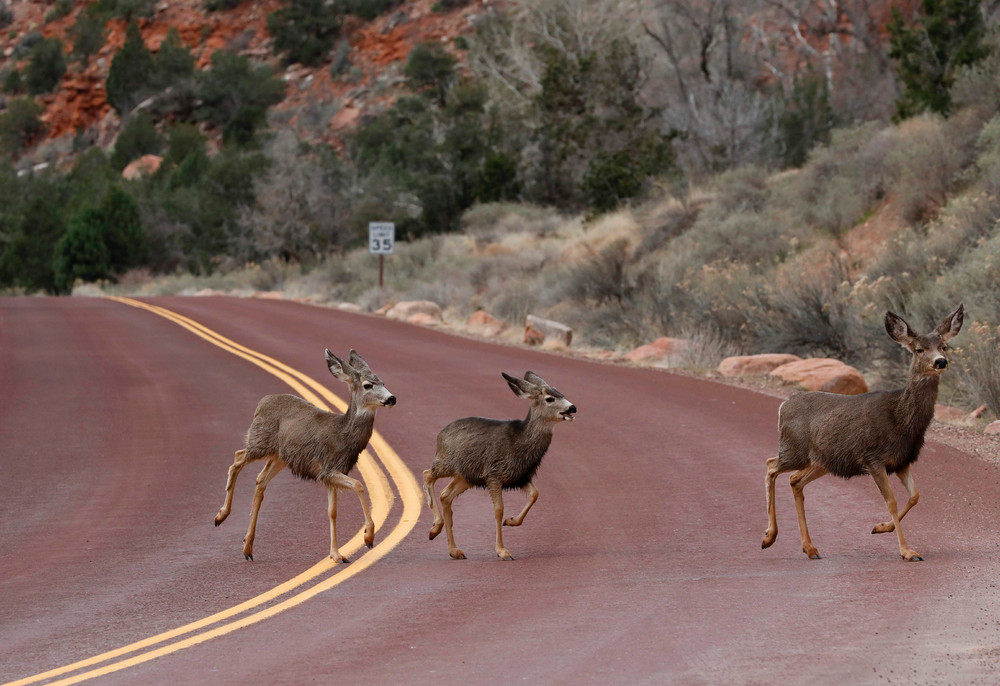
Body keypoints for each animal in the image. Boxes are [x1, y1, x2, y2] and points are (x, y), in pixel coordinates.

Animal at [214, 350, 394, 564]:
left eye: (383, 382)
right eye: (368, 385)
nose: (392, 398)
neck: (343, 435)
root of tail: (262, 402)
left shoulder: (332, 473)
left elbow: (332, 512)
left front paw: (336, 554)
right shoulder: (328, 468)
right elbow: (358, 485)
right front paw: (368, 537)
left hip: (280, 456)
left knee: (260, 479)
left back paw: (247, 547)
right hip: (260, 440)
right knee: (237, 458)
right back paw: (221, 516)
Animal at [422, 374, 580, 560]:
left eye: (561, 393)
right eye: (550, 398)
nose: (573, 408)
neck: (520, 444)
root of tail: (440, 436)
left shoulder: (520, 476)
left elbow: (535, 494)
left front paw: (511, 521)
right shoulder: (494, 473)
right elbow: (499, 509)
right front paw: (502, 551)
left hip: (466, 476)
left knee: (445, 494)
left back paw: (453, 549)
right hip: (447, 462)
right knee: (427, 474)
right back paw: (435, 527)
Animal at [760, 306, 964, 564]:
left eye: (944, 346)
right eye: (919, 349)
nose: (941, 361)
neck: (901, 420)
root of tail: (784, 405)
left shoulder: (901, 461)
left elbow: (915, 495)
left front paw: (880, 527)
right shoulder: (873, 458)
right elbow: (892, 501)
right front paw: (908, 551)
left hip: (823, 461)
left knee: (795, 480)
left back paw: (810, 548)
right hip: (794, 448)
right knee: (771, 465)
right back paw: (769, 537)